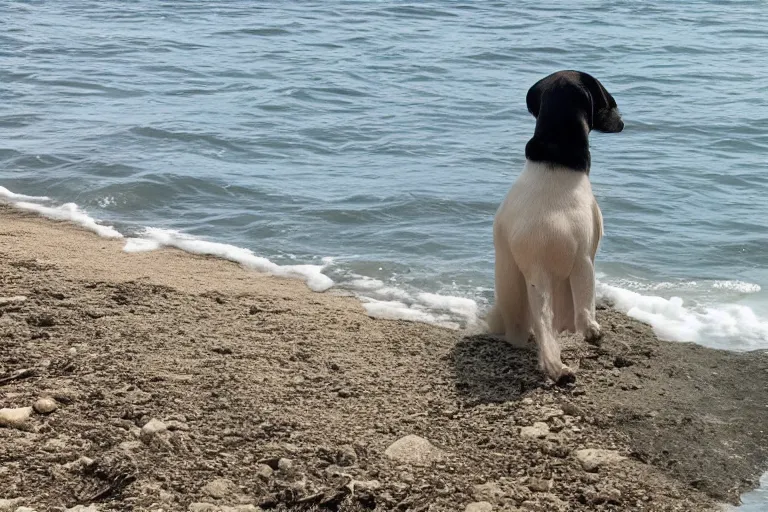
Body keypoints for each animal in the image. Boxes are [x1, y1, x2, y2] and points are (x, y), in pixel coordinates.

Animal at [486, 71, 624, 384]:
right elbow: (585, 310)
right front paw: (593, 330)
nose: (623, 121)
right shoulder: (585, 258)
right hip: (563, 275)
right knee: (554, 329)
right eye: (607, 98)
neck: (553, 160)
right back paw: (559, 368)